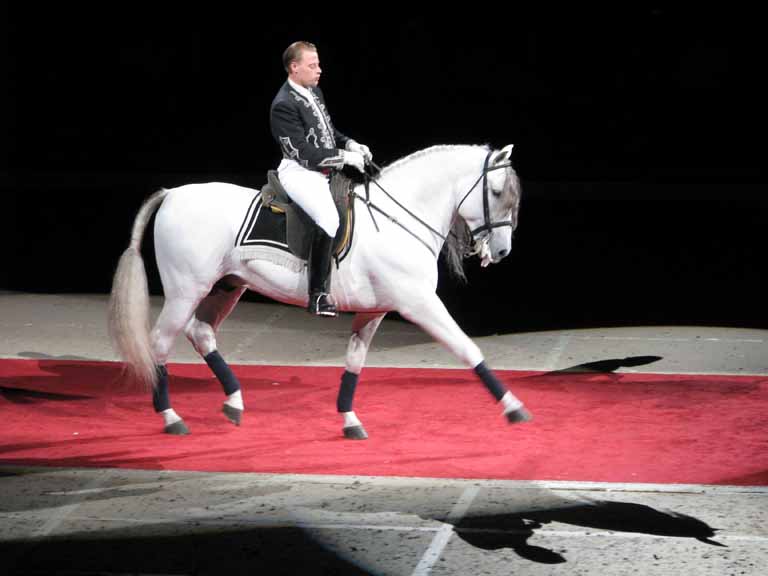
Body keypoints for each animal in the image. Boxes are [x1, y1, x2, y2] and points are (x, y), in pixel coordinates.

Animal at [108, 144, 532, 436]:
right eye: (496, 192)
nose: (502, 252)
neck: (397, 219)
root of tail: (173, 193)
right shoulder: (419, 303)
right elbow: (466, 348)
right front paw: (513, 406)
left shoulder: (374, 311)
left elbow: (354, 362)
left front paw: (349, 420)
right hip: (186, 290)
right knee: (160, 342)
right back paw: (171, 416)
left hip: (228, 286)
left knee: (201, 333)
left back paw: (234, 401)